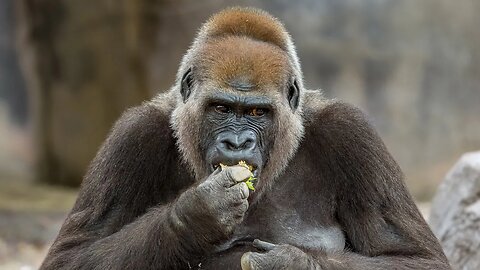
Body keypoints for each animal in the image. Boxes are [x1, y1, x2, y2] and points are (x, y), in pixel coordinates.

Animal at [40, 7, 450, 268]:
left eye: (256, 113)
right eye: (222, 108)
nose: (237, 144)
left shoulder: (352, 135)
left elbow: (414, 258)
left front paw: (293, 264)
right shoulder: (133, 136)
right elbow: (72, 256)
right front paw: (195, 215)